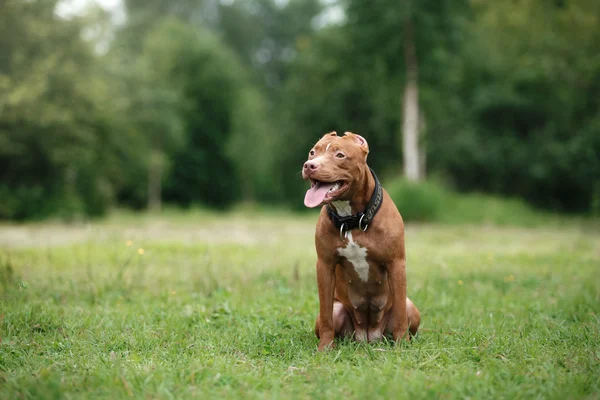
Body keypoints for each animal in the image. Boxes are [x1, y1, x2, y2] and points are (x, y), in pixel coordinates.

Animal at [302, 131, 420, 350]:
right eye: (313, 152)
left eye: (339, 155)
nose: (309, 165)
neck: (352, 220)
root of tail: (368, 334)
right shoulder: (324, 265)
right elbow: (325, 313)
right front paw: (325, 349)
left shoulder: (396, 263)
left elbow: (400, 313)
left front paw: (402, 346)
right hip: (339, 309)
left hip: (412, 309)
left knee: (404, 310)